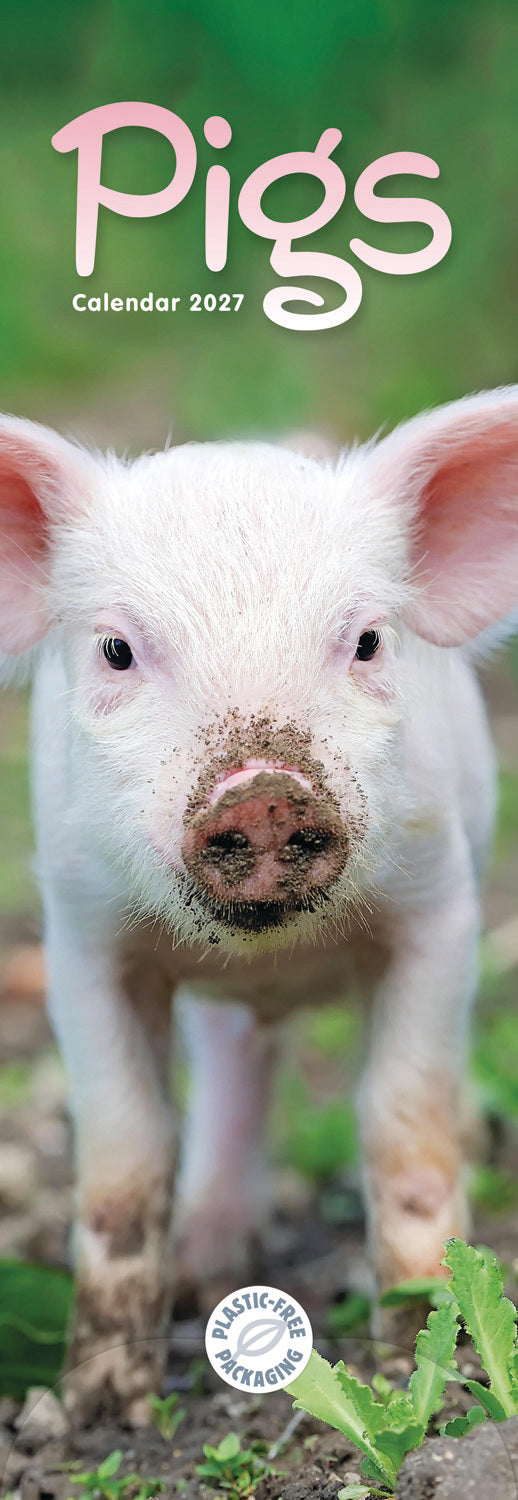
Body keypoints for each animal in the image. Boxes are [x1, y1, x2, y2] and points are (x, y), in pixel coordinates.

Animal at [1, 389, 518, 1423]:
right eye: (116, 649)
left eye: (367, 640)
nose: (266, 794)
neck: (275, 953)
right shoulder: (82, 932)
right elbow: (124, 1154)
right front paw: (102, 1402)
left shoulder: (440, 906)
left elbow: (401, 1125)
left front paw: (421, 1355)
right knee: (233, 1068)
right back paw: (207, 1271)